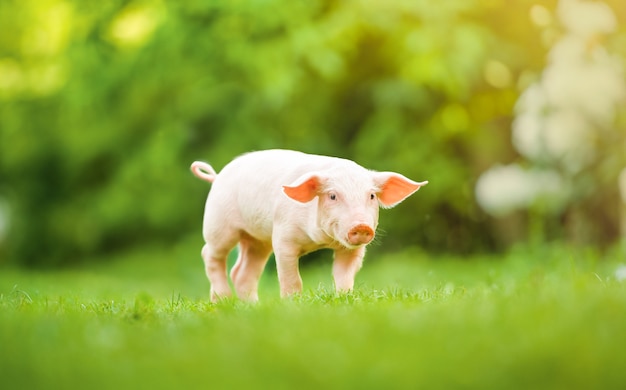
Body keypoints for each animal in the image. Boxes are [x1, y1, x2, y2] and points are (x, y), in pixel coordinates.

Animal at [188, 150, 426, 302]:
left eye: (372, 196)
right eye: (332, 196)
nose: (361, 226)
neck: (320, 241)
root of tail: (217, 176)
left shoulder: (353, 250)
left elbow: (344, 275)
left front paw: (344, 299)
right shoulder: (282, 237)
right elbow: (291, 277)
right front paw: (293, 304)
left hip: (258, 241)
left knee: (242, 272)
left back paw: (252, 306)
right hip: (218, 223)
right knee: (210, 254)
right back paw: (223, 300)